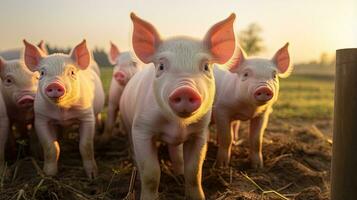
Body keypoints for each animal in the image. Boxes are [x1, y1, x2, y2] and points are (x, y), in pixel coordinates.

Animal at [22, 39, 104, 179]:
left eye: (72, 72)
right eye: (42, 73)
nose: (55, 84)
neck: (62, 112)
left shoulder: (87, 116)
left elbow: (85, 145)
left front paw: (93, 176)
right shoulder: (41, 119)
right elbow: (51, 147)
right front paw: (48, 175)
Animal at [120, 13, 236, 199]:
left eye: (206, 66)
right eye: (161, 66)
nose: (185, 89)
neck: (178, 125)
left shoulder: (200, 133)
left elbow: (194, 172)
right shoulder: (141, 128)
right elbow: (151, 173)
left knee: (176, 153)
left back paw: (178, 174)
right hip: (126, 122)